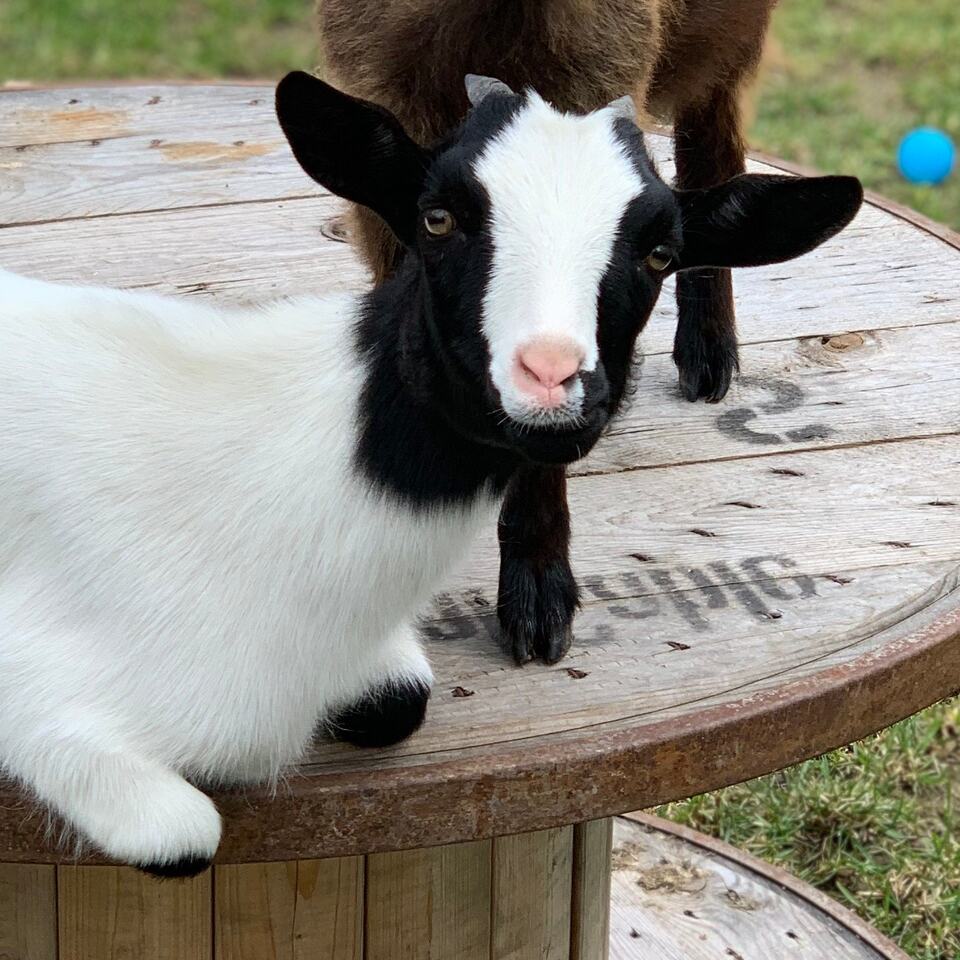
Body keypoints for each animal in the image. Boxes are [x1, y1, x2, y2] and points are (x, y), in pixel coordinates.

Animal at [0, 71, 860, 874]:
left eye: (660, 253)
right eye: (436, 218)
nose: (552, 379)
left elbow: (403, 701)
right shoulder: (50, 706)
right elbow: (182, 836)